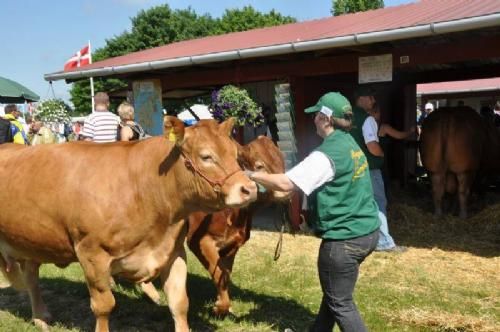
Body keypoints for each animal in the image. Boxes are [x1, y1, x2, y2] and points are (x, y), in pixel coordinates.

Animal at [0, 117, 258, 332]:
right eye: (206, 156)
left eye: (235, 154)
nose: (250, 189)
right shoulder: (92, 254)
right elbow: (103, 306)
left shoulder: (173, 251)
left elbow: (179, 302)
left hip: (30, 240)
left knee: (31, 278)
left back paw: (41, 317)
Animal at [140, 136, 290, 316]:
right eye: (260, 165)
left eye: (282, 161)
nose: (286, 192)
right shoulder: (199, 240)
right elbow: (217, 272)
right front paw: (220, 307)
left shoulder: (232, 244)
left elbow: (224, 275)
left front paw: (222, 303)